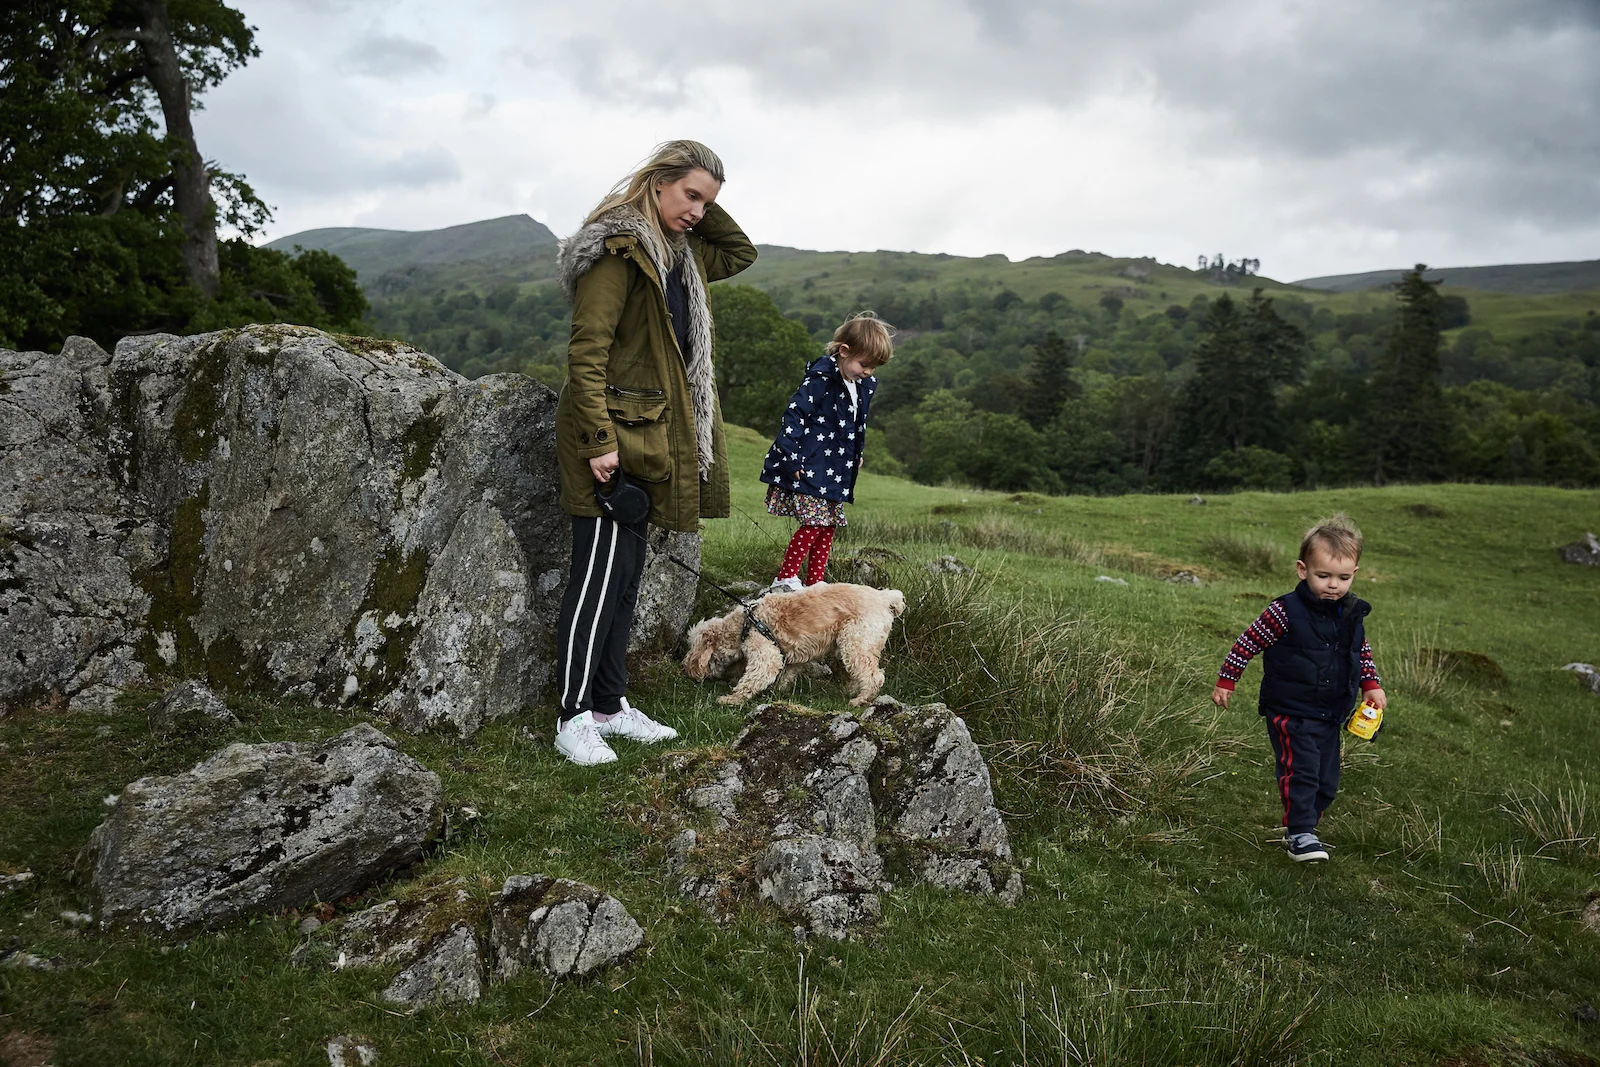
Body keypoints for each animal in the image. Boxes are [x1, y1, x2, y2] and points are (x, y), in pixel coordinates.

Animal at [684, 579, 908, 703]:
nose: (686, 668)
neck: (745, 623)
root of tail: (885, 597)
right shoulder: (794, 657)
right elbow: (786, 675)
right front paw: (776, 691)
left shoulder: (765, 654)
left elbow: (752, 679)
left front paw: (732, 699)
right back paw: (852, 692)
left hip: (856, 643)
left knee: (874, 676)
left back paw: (860, 700)